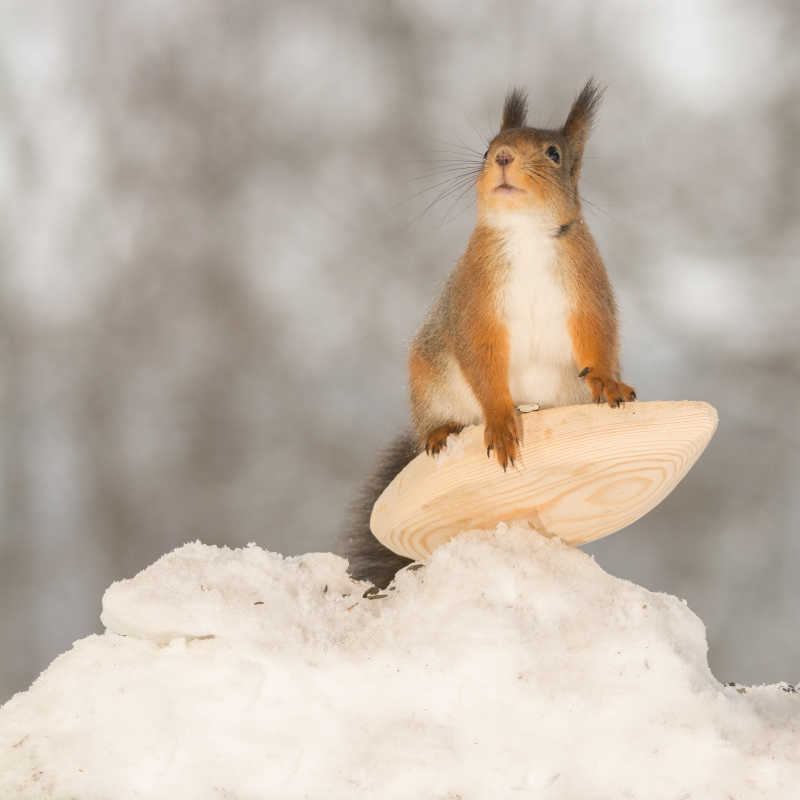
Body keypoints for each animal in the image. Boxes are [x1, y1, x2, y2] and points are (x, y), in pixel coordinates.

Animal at [340, 81, 636, 588]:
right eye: (486, 148)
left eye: (554, 154)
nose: (501, 157)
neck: (526, 232)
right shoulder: (474, 301)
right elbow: (480, 357)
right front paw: (499, 420)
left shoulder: (589, 293)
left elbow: (597, 336)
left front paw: (609, 382)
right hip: (429, 380)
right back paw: (443, 431)